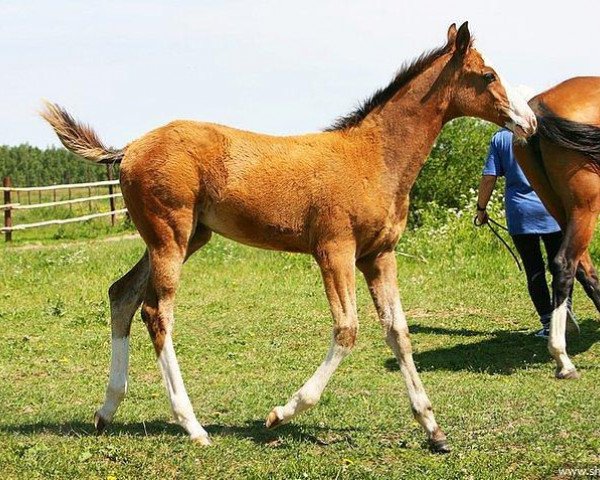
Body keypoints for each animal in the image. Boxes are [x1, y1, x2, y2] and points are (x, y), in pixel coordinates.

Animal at [42, 22, 536, 452]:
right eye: (489, 75)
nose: (529, 121)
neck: (374, 157)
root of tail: (130, 148)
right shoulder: (335, 250)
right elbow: (347, 329)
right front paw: (282, 413)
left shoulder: (379, 255)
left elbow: (398, 332)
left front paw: (433, 430)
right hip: (170, 237)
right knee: (156, 312)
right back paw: (192, 426)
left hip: (186, 238)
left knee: (122, 295)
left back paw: (106, 412)